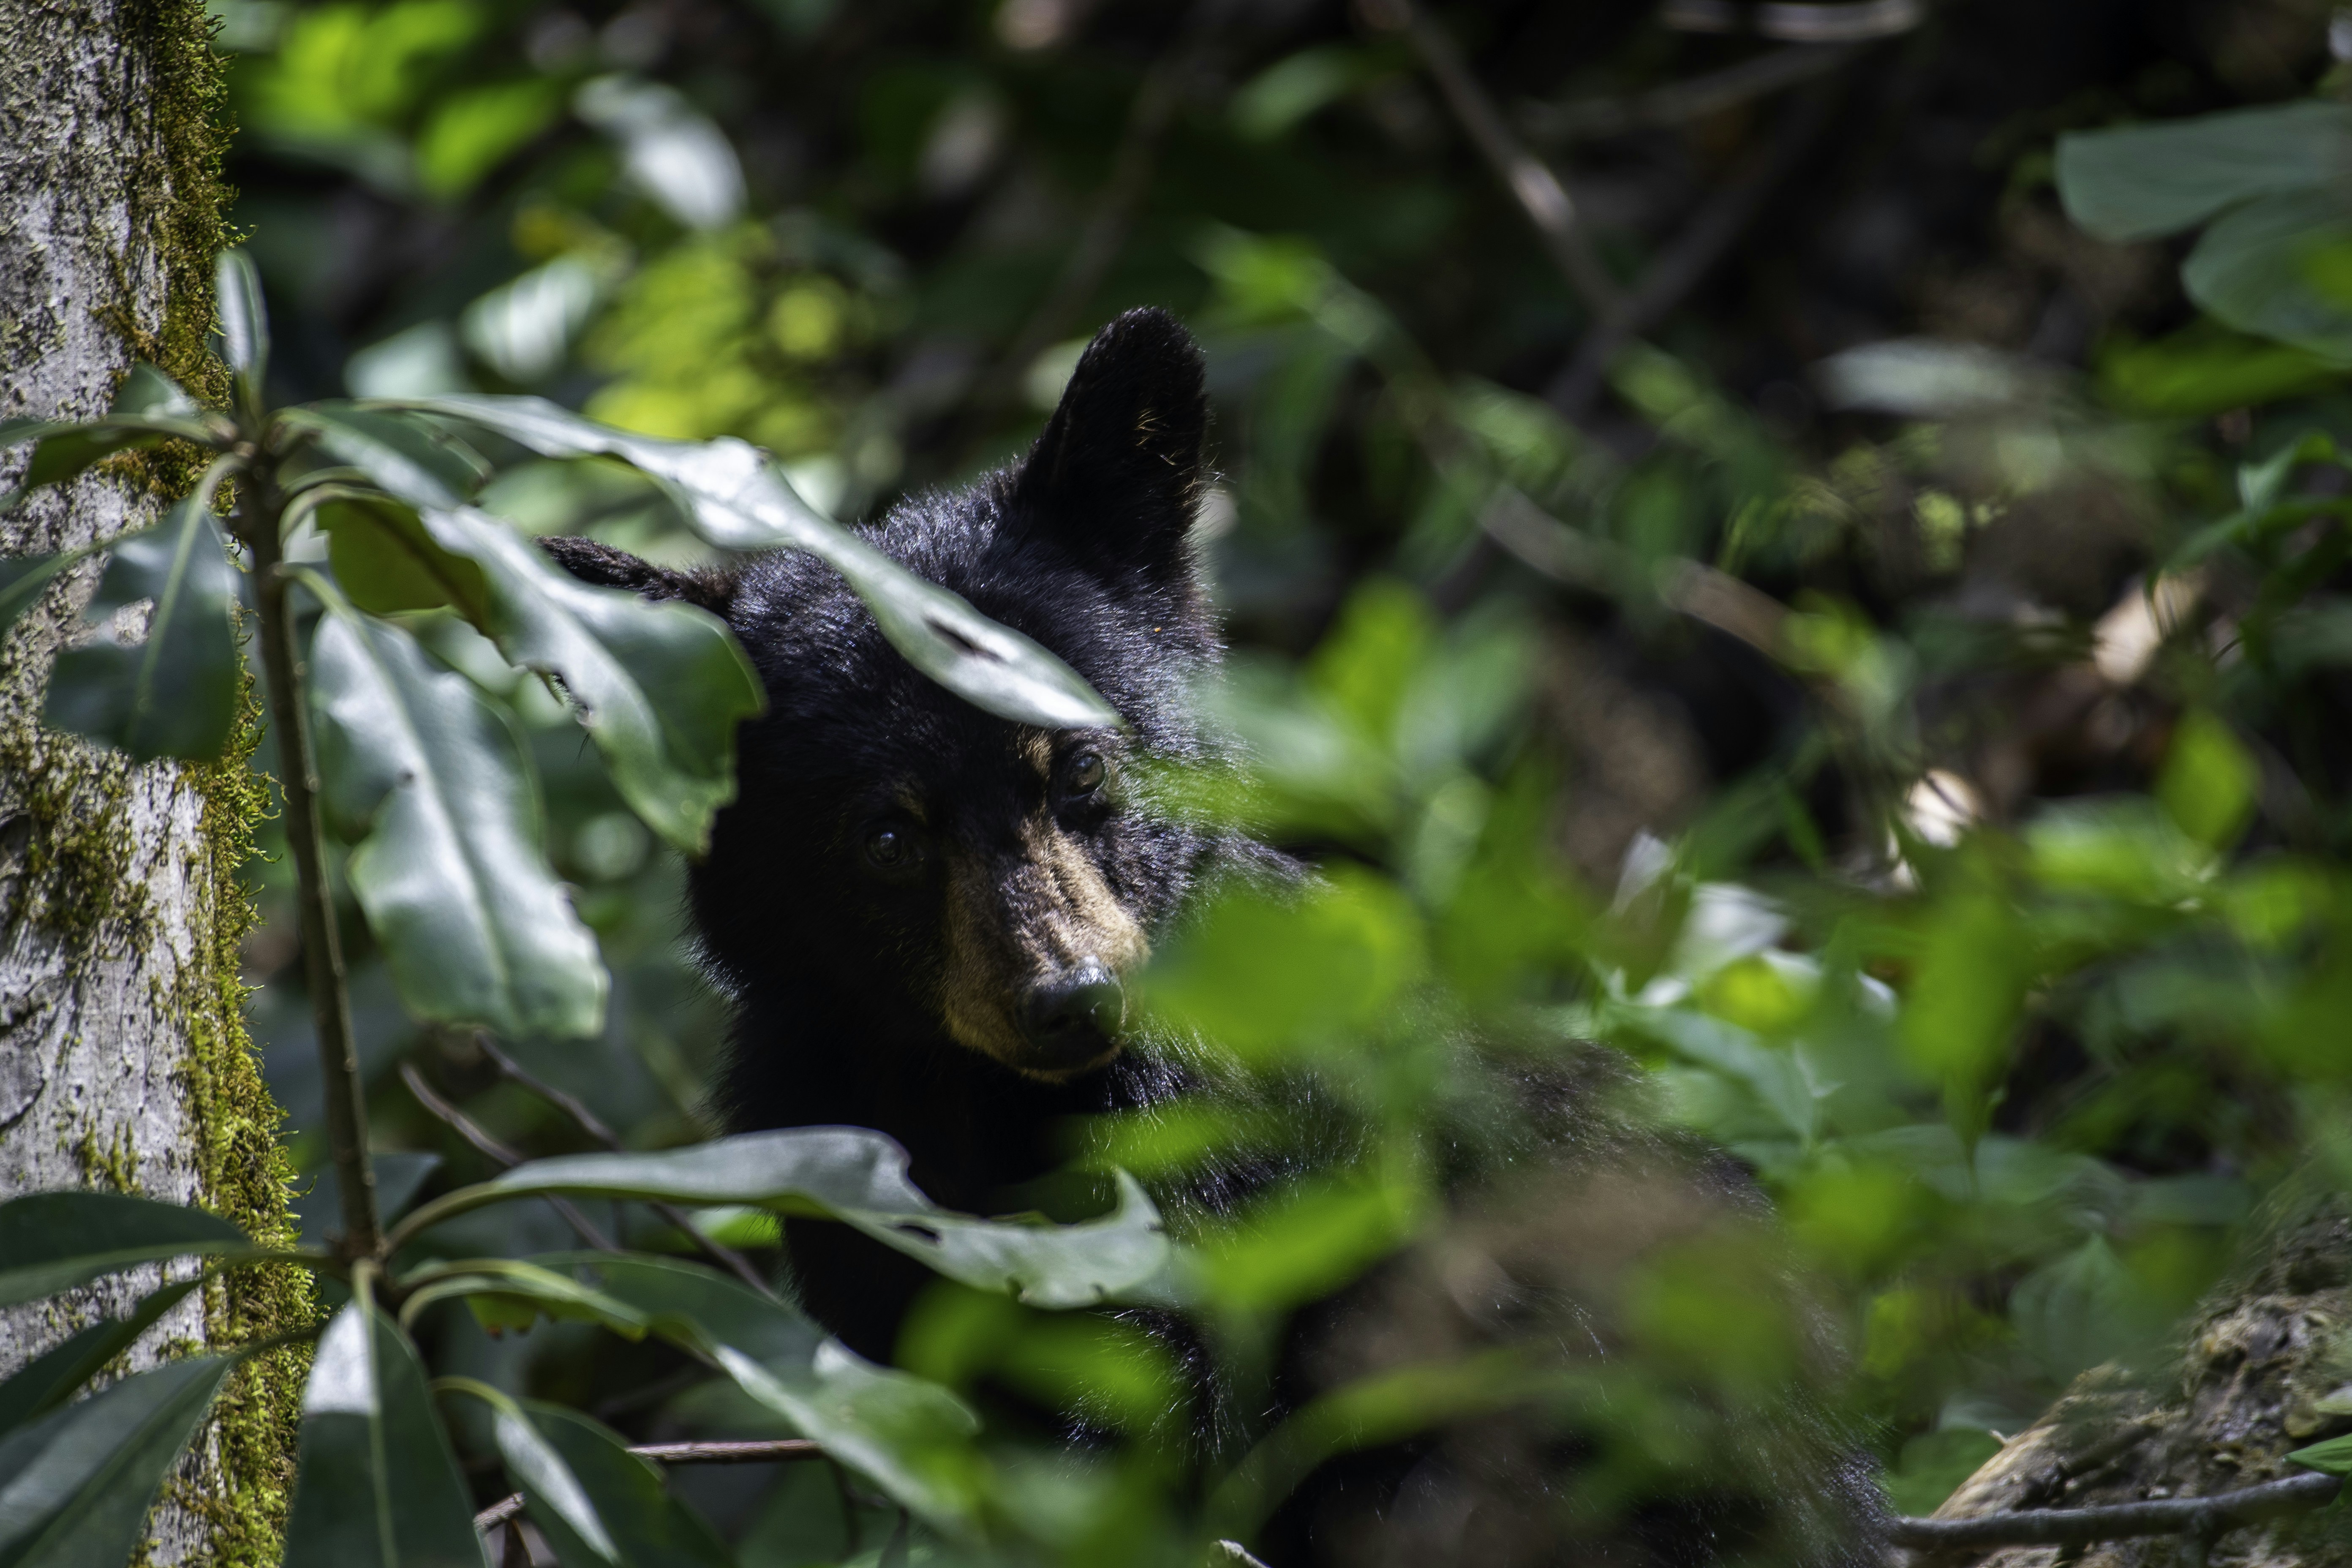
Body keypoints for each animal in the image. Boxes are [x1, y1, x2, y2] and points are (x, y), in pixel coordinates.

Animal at [541, 308, 1886, 1567]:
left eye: (1083, 764)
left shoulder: (1217, 1191)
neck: (976, 1103)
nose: (1074, 999)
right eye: (886, 835)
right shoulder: (836, 1166)